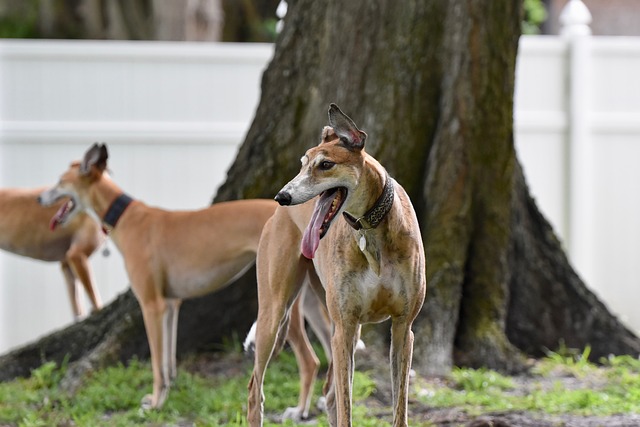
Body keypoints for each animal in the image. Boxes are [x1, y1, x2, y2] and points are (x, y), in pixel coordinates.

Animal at [38, 145, 278, 412]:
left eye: (60, 181)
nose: (39, 198)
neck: (126, 217)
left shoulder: (152, 305)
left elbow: (156, 363)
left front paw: (155, 403)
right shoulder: (171, 303)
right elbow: (167, 361)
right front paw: (168, 391)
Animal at [249, 104, 424, 427]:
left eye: (326, 164)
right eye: (303, 164)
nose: (282, 196)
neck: (370, 229)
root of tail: (275, 216)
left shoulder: (402, 327)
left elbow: (399, 409)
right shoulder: (343, 328)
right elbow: (345, 408)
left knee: (329, 394)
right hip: (274, 312)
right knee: (256, 389)